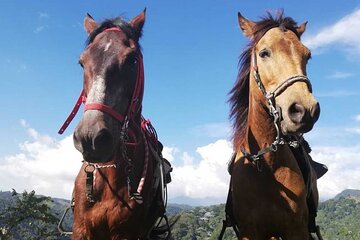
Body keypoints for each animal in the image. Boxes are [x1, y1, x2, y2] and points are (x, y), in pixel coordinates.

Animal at [224, 10, 324, 238]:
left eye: (307, 55)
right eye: (264, 53)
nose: (305, 110)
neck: (265, 165)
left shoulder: (297, 231)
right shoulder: (249, 233)